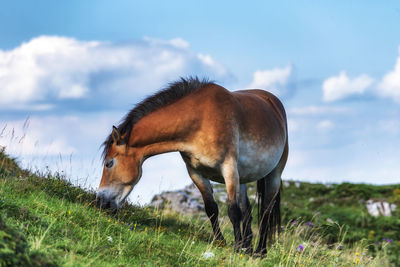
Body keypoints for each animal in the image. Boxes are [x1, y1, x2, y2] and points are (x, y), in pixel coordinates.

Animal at [96, 77, 288, 255]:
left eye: (109, 163)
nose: (101, 201)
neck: (201, 121)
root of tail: (273, 102)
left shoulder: (229, 169)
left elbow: (233, 211)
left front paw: (236, 248)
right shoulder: (196, 173)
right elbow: (211, 209)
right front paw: (221, 243)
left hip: (273, 174)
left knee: (265, 211)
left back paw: (260, 251)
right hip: (243, 177)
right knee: (247, 210)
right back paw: (248, 248)